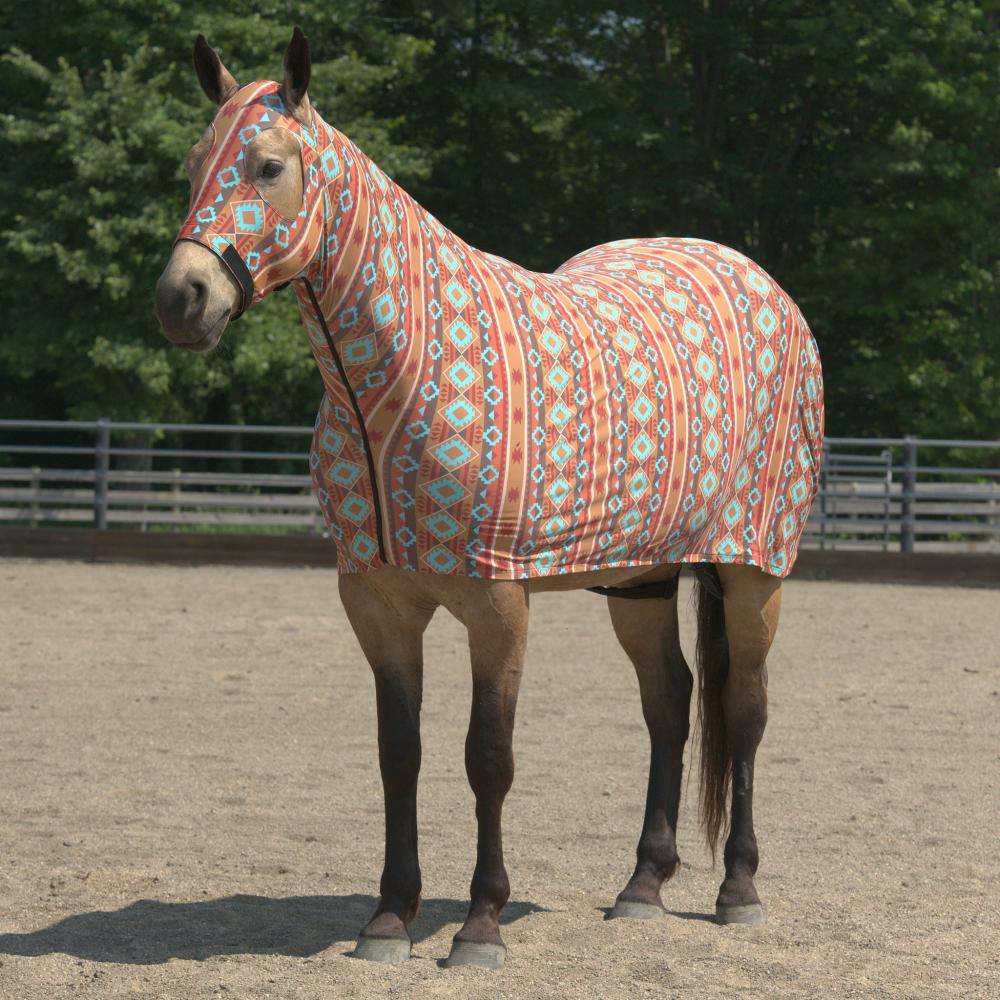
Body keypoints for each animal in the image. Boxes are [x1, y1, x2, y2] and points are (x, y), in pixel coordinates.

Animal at [154, 28, 824, 970]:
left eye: (267, 165)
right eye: (192, 166)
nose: (182, 299)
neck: (406, 373)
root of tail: (762, 283)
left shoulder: (498, 604)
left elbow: (489, 758)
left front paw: (479, 925)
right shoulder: (377, 603)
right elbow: (400, 754)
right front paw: (388, 920)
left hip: (752, 571)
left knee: (745, 709)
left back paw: (738, 891)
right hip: (641, 579)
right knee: (670, 704)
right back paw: (642, 886)